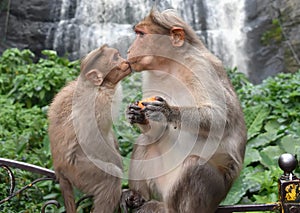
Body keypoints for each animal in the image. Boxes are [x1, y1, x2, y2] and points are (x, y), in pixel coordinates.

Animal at [48, 44, 131, 212]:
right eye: (116, 58)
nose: (126, 60)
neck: (99, 86)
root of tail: (59, 168)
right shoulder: (99, 103)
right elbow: (92, 139)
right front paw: (118, 161)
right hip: (78, 171)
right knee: (110, 177)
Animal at [125, 7, 247, 213]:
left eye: (141, 34)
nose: (128, 50)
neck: (172, 65)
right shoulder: (150, 75)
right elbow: (156, 132)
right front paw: (138, 114)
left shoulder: (201, 67)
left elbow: (219, 118)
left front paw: (167, 111)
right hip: (161, 181)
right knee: (145, 140)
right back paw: (137, 196)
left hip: (213, 192)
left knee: (194, 166)